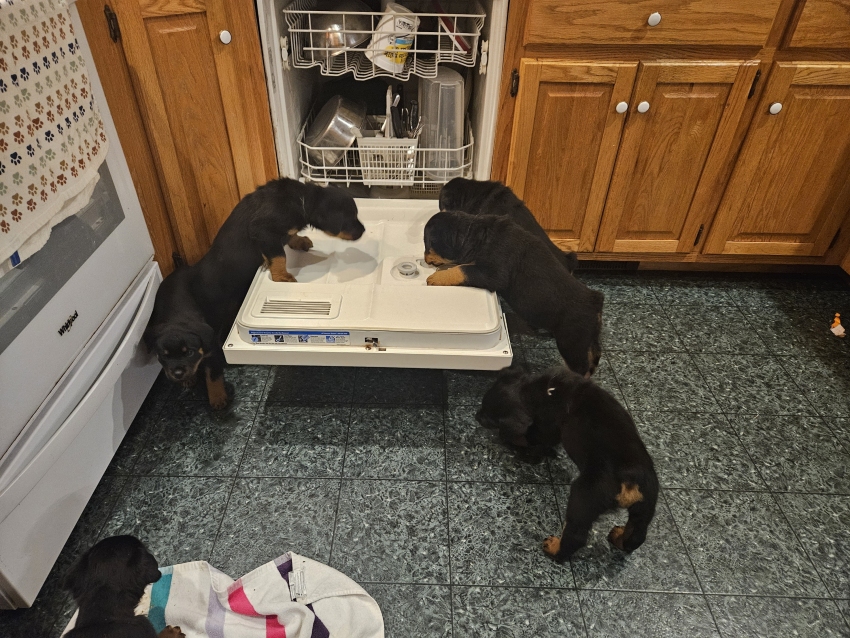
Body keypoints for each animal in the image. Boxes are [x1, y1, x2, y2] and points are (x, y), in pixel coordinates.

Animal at [145, 179, 365, 408]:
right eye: (349, 218)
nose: (363, 231)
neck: (300, 200)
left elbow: (290, 236)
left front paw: (299, 241)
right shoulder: (265, 231)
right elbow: (279, 256)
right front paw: (282, 276)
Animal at [423, 211, 603, 376]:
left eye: (428, 243)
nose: (425, 260)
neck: (480, 237)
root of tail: (595, 302)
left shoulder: (494, 274)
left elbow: (462, 270)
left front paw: (437, 277)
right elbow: (463, 265)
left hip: (571, 342)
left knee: (580, 369)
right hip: (588, 340)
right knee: (593, 359)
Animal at [476, 365, 658, 561]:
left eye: (489, 418)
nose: (476, 416)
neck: (541, 390)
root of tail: (630, 480)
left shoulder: (546, 429)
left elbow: (531, 441)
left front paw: (519, 449)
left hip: (585, 496)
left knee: (576, 536)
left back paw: (554, 550)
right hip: (646, 504)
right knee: (637, 535)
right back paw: (618, 537)